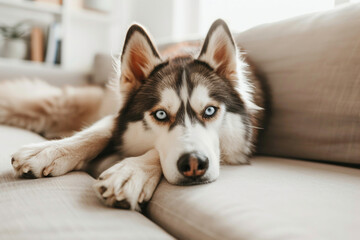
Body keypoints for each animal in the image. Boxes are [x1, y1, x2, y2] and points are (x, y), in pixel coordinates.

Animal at [0, 19, 264, 211]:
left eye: (209, 110)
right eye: (160, 114)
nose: (193, 164)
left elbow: (155, 151)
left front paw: (130, 173)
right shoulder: (117, 117)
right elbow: (97, 133)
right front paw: (49, 150)